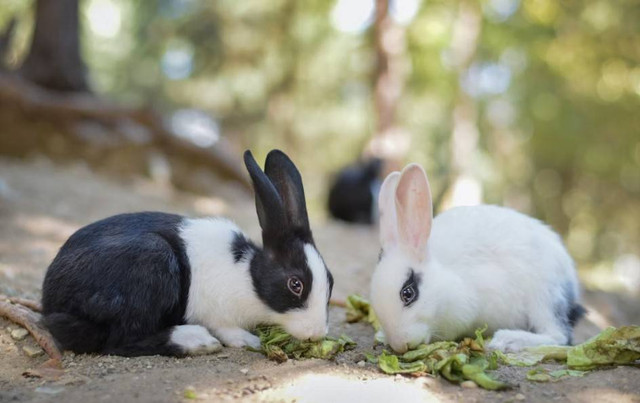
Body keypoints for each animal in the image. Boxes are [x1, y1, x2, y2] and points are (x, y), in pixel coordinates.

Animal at [41, 151, 336, 356]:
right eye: (295, 284)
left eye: (331, 281)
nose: (316, 334)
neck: (248, 277)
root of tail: (50, 300)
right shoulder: (217, 311)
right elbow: (226, 328)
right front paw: (249, 340)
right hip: (151, 260)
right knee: (120, 340)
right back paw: (196, 341)